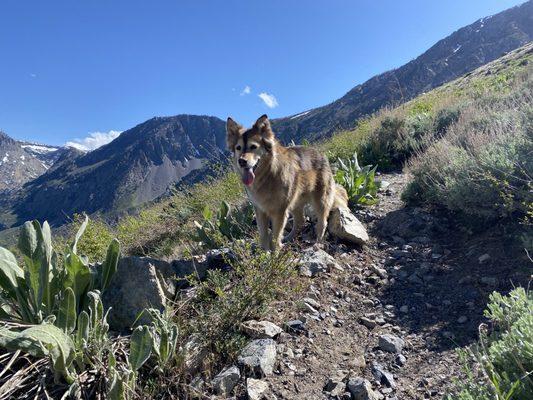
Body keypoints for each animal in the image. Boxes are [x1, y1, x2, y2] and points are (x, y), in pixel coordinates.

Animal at [223, 113, 344, 250]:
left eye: (253, 147)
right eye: (238, 148)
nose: (241, 161)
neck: (267, 175)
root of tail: (320, 154)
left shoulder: (279, 211)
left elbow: (275, 237)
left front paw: (275, 253)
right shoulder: (260, 210)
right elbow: (264, 235)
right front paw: (264, 253)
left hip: (321, 200)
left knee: (322, 223)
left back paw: (317, 243)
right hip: (296, 201)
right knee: (300, 221)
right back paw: (288, 238)